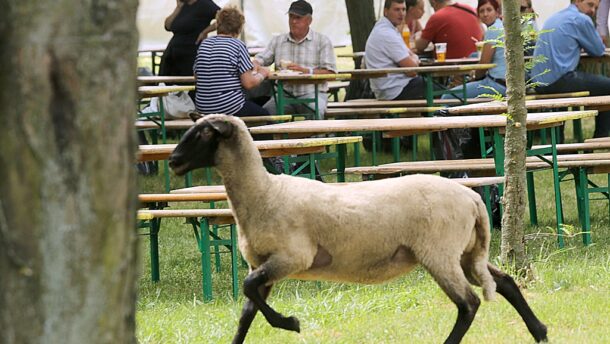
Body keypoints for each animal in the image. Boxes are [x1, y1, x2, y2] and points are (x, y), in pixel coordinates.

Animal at [166, 115, 548, 344]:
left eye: (203, 133)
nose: (173, 161)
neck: (265, 193)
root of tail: (473, 199)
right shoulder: (264, 265)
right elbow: (247, 310)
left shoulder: (292, 258)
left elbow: (247, 290)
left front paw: (292, 324)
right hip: (465, 253)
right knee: (506, 283)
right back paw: (540, 332)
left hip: (439, 253)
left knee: (468, 303)